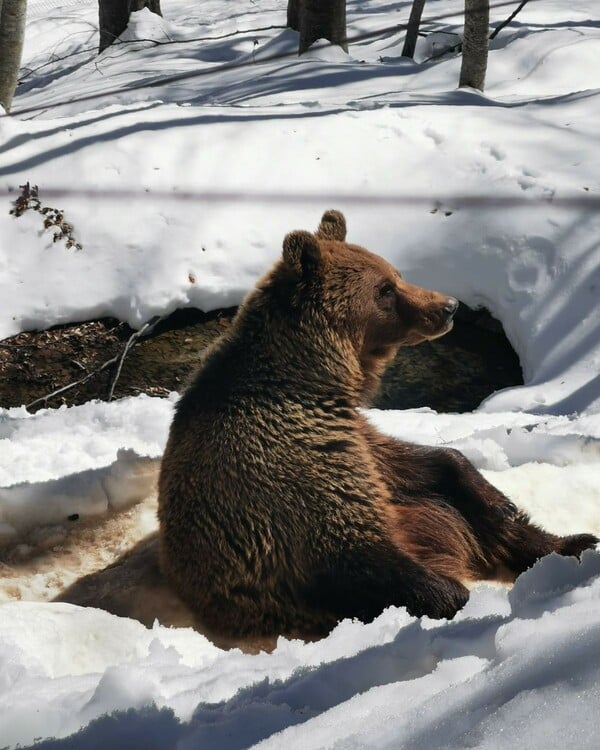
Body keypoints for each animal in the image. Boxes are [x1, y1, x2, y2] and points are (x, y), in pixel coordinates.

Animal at [157, 210, 596, 640]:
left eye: (396, 273)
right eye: (384, 289)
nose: (449, 306)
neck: (313, 381)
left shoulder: (352, 435)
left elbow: (424, 461)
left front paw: (497, 499)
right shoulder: (286, 471)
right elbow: (355, 552)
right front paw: (456, 597)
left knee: (489, 521)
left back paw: (575, 545)